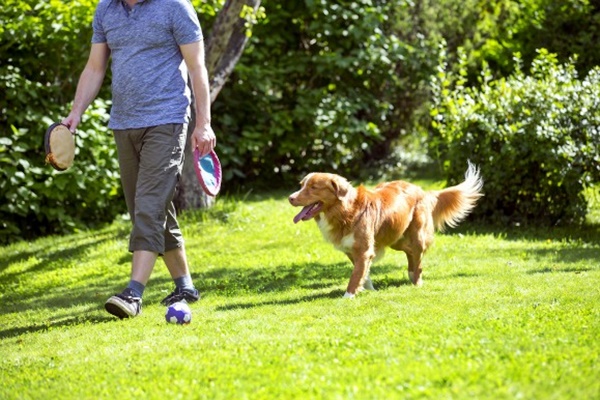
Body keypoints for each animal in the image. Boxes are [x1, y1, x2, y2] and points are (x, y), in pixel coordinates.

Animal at [290, 162, 482, 296]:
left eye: (313, 187)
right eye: (301, 185)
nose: (290, 198)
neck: (345, 211)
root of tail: (421, 189)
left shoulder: (364, 250)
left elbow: (355, 276)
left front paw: (348, 296)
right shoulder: (353, 250)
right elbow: (363, 273)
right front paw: (369, 290)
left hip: (416, 236)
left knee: (418, 260)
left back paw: (417, 281)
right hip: (396, 238)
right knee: (410, 254)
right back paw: (410, 275)